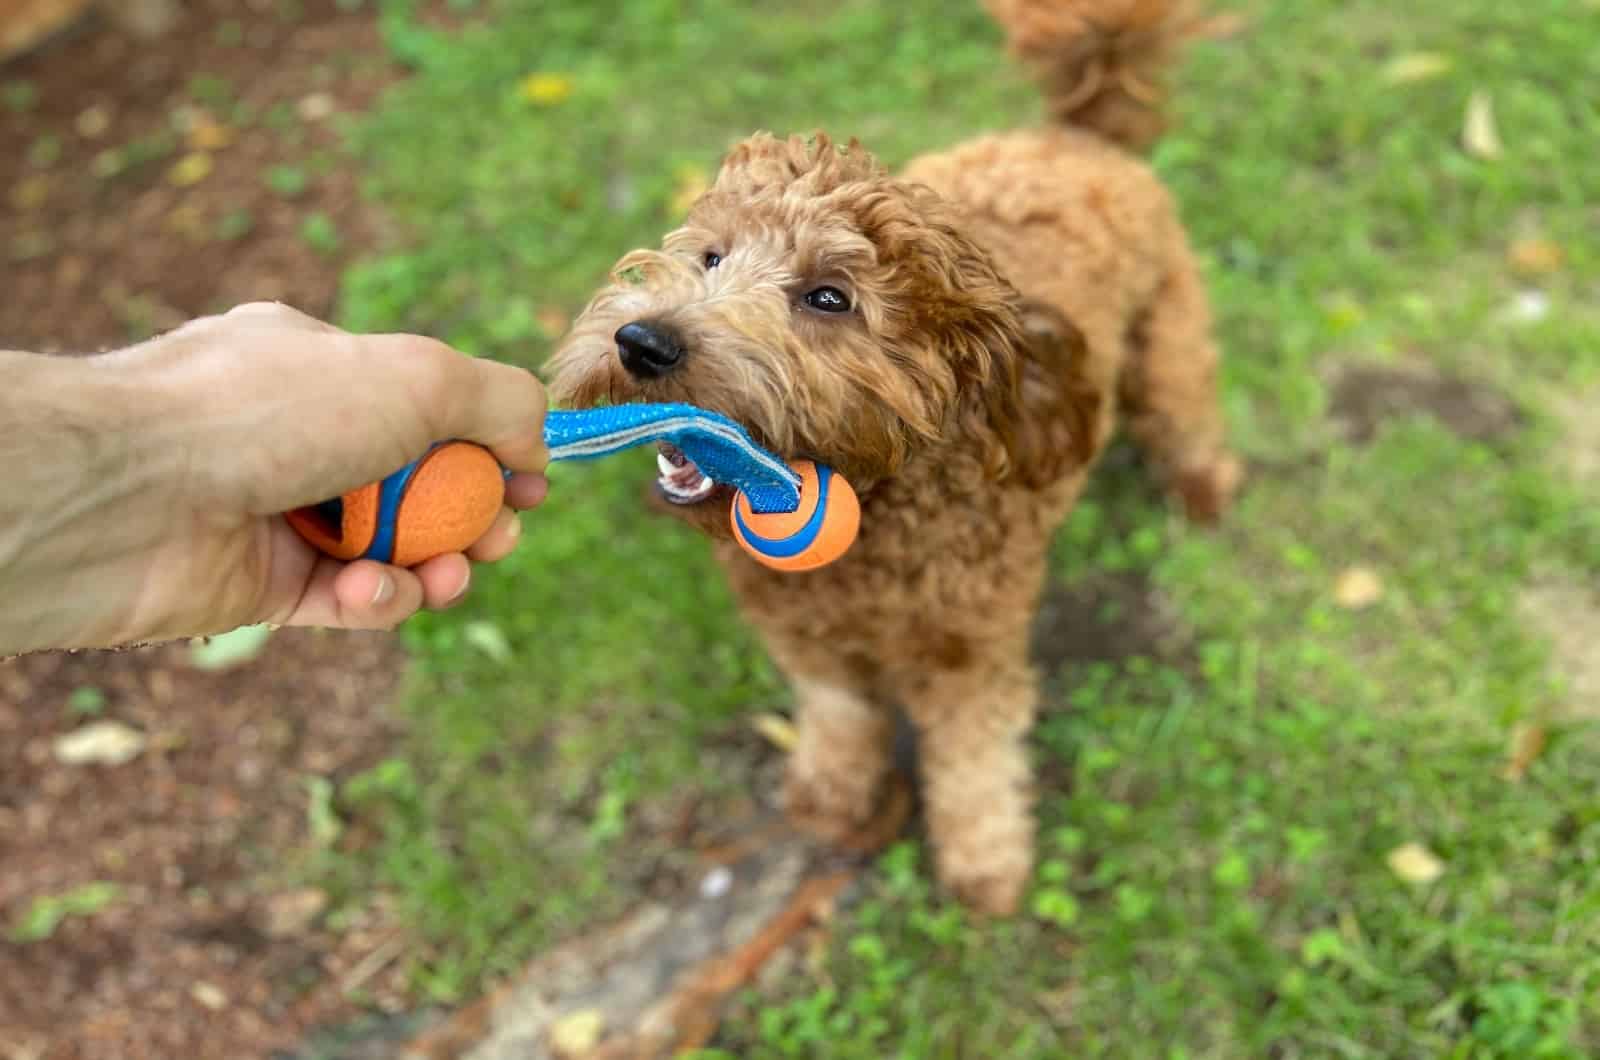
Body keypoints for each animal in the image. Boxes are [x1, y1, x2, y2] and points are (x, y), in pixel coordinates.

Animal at [547, 0, 1235, 915]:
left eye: (828, 298)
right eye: (712, 256)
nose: (641, 342)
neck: (878, 515)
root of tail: (1074, 136)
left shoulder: (967, 652)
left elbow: (973, 759)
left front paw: (986, 866)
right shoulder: (805, 637)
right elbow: (838, 714)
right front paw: (834, 798)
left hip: (1167, 334)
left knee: (1185, 404)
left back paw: (1202, 487)